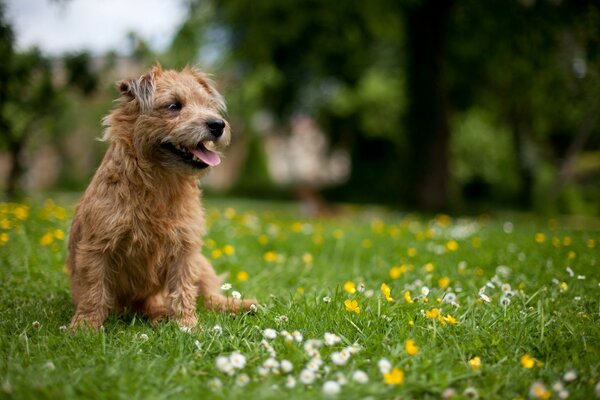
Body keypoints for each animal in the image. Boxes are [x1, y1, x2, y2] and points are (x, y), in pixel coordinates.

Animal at [67, 63, 255, 332]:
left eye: (208, 105)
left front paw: (187, 324)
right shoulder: (97, 247)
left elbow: (184, 289)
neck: (159, 185)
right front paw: (85, 325)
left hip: (202, 263)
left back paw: (242, 306)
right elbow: (94, 289)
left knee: (210, 297)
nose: (218, 124)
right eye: (174, 106)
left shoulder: (185, 249)